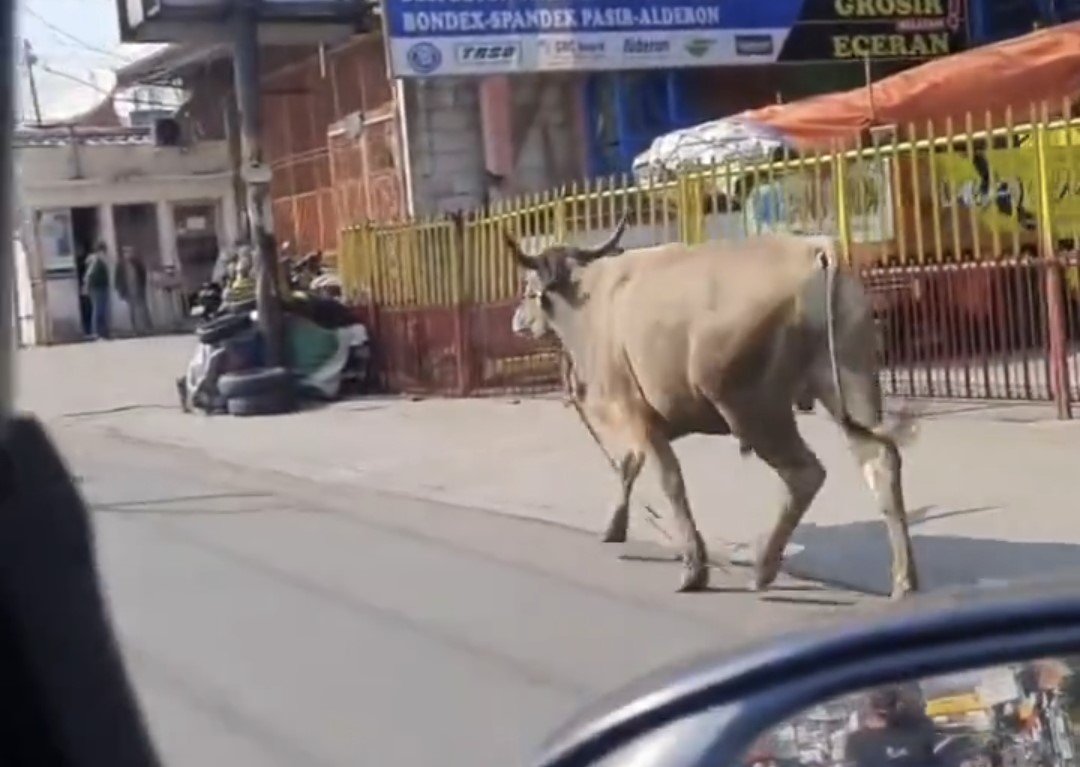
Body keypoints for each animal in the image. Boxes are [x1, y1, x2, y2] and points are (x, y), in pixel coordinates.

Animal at [505, 220, 920, 600]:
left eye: (527, 287)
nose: (517, 320)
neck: (590, 300)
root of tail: (812, 250)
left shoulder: (635, 412)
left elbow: (669, 481)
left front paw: (694, 566)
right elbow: (628, 465)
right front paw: (614, 526)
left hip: (751, 406)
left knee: (805, 474)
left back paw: (763, 567)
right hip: (849, 379)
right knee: (880, 461)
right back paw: (903, 579)